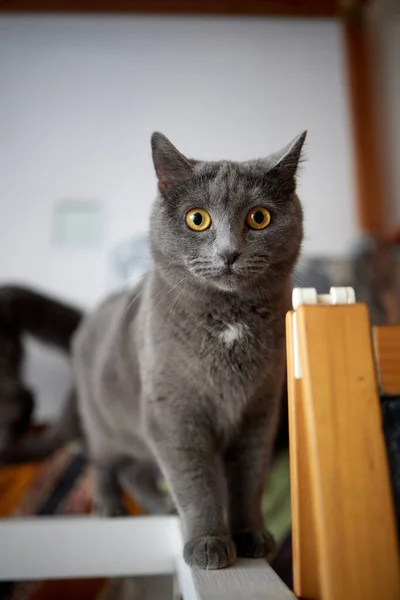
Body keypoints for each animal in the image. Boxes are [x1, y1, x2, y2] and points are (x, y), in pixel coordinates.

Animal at [70, 131, 304, 568]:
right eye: (198, 219)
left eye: (259, 218)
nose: (229, 253)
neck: (229, 324)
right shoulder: (174, 415)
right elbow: (195, 483)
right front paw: (208, 542)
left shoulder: (259, 414)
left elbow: (249, 481)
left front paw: (251, 536)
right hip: (104, 420)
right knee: (104, 462)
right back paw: (110, 506)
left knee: (136, 471)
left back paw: (159, 507)